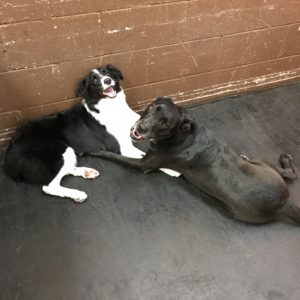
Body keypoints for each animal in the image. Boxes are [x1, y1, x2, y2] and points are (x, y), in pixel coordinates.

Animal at [2, 64, 146, 203]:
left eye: (106, 72)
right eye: (94, 80)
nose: (107, 80)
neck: (113, 106)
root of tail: (8, 159)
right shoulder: (123, 147)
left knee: (67, 170)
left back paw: (87, 172)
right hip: (60, 149)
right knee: (50, 186)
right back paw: (77, 194)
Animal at [91, 97, 298, 224]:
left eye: (164, 123)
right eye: (153, 108)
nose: (141, 128)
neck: (181, 134)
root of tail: (284, 204)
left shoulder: (145, 165)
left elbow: (118, 156)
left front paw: (98, 152)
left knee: (290, 174)